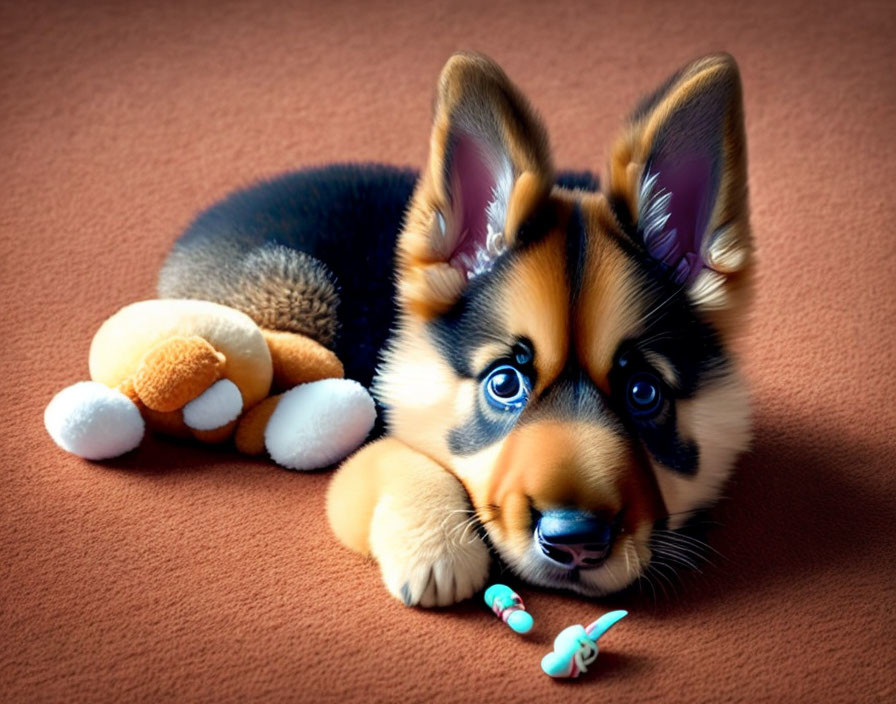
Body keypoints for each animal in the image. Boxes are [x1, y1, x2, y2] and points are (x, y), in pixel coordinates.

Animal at [159, 52, 748, 608]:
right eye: (504, 383)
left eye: (643, 393)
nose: (576, 541)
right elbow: (390, 455)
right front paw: (437, 546)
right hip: (298, 290)